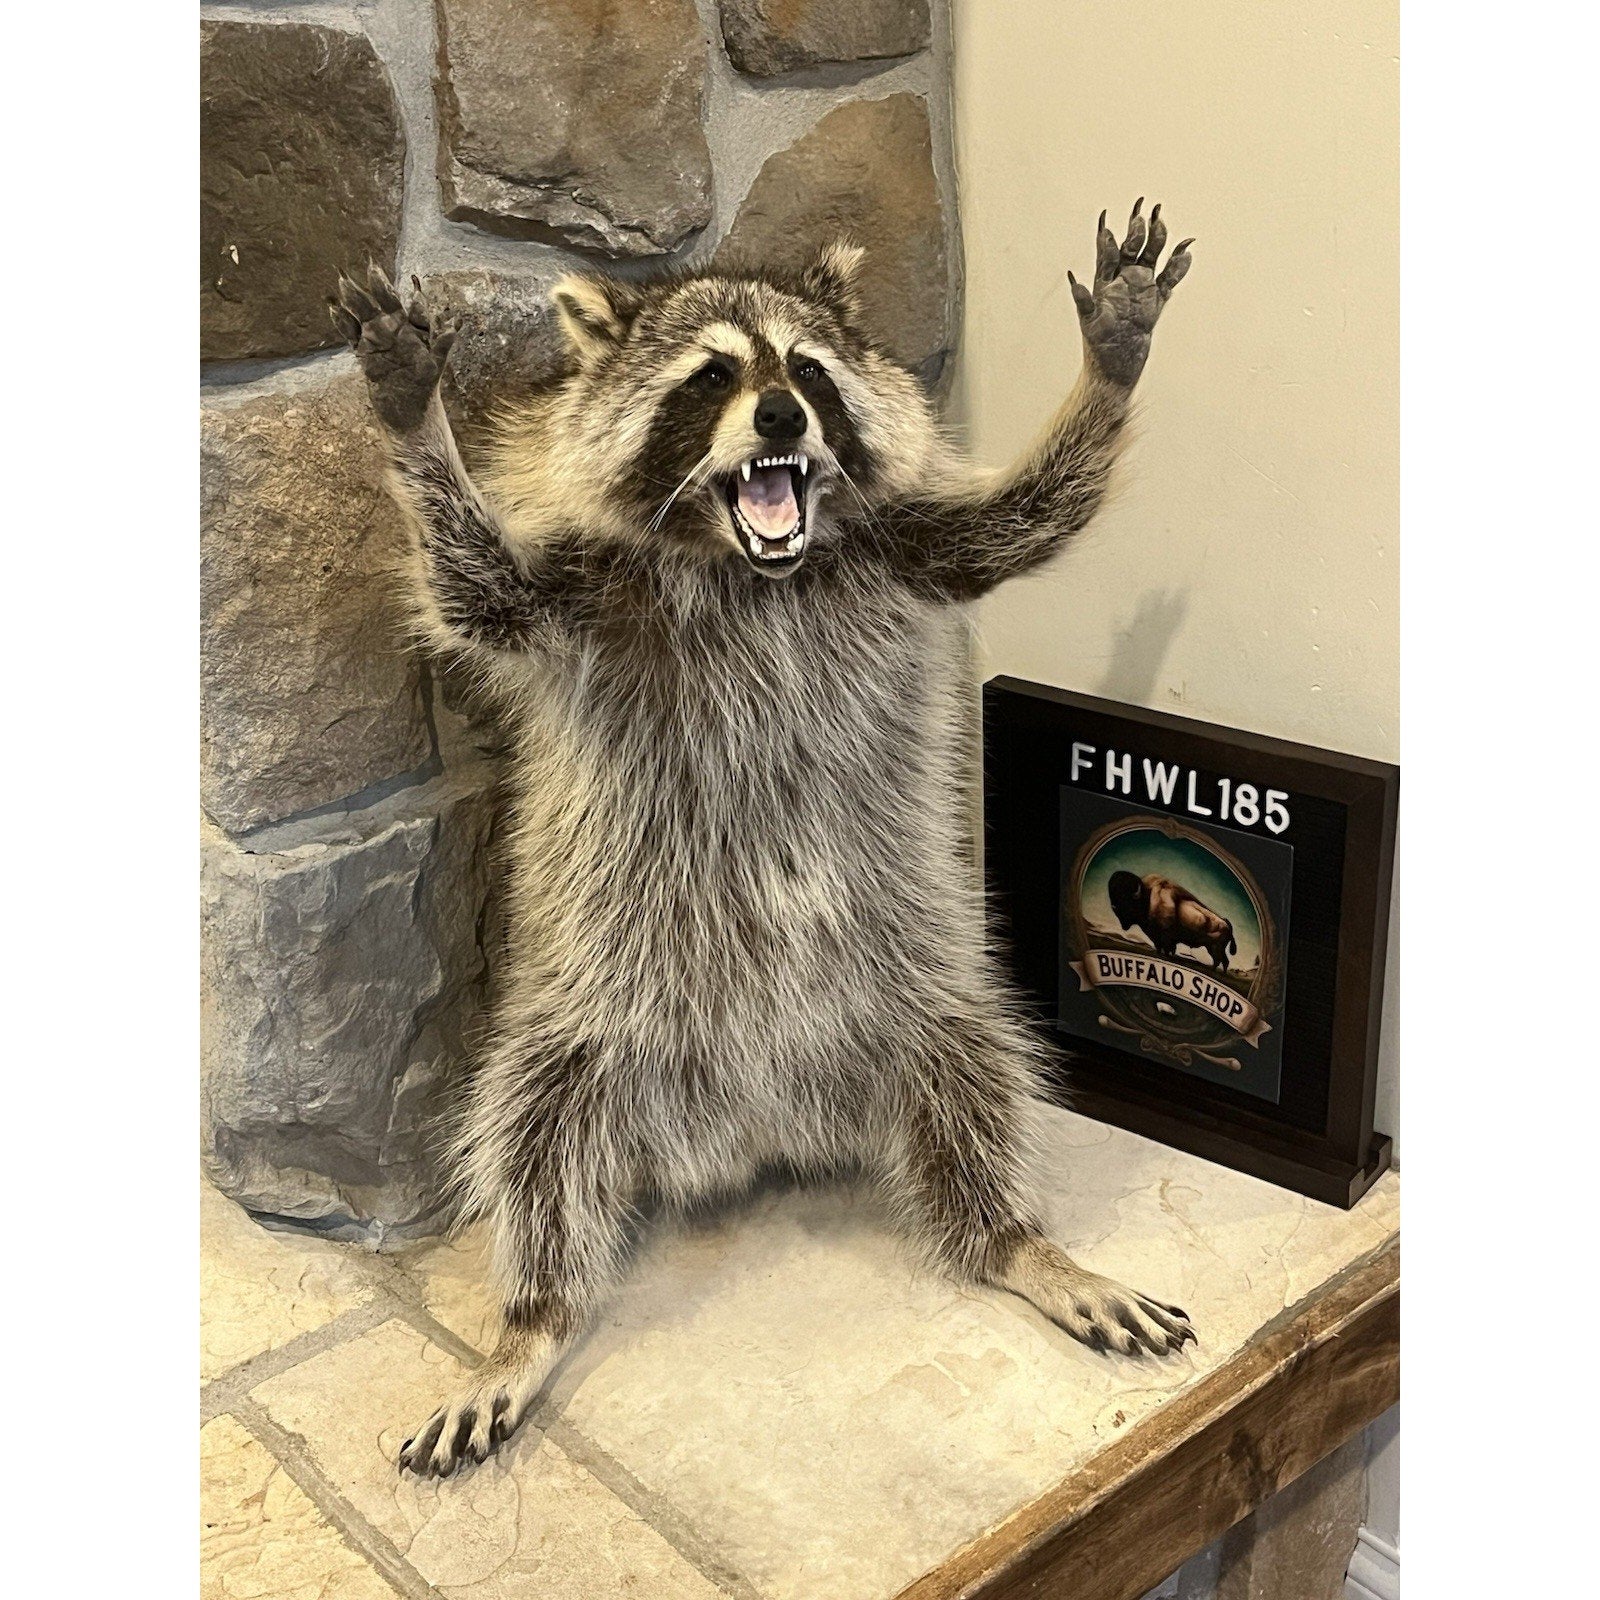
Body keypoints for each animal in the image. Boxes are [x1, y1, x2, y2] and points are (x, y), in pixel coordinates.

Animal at [330, 202, 1195, 1478]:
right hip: (582, 1018)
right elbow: (475, 585)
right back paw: (533, 1319)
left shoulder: (907, 550)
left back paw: (1014, 1240)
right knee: (533, 1136)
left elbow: (1027, 521)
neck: (750, 566)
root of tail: (752, 1128)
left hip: (917, 985)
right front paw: (410, 415)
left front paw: (1111, 366)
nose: (782, 416)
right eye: (712, 377)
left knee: (977, 1070)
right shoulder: (582, 593)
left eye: (808, 372)